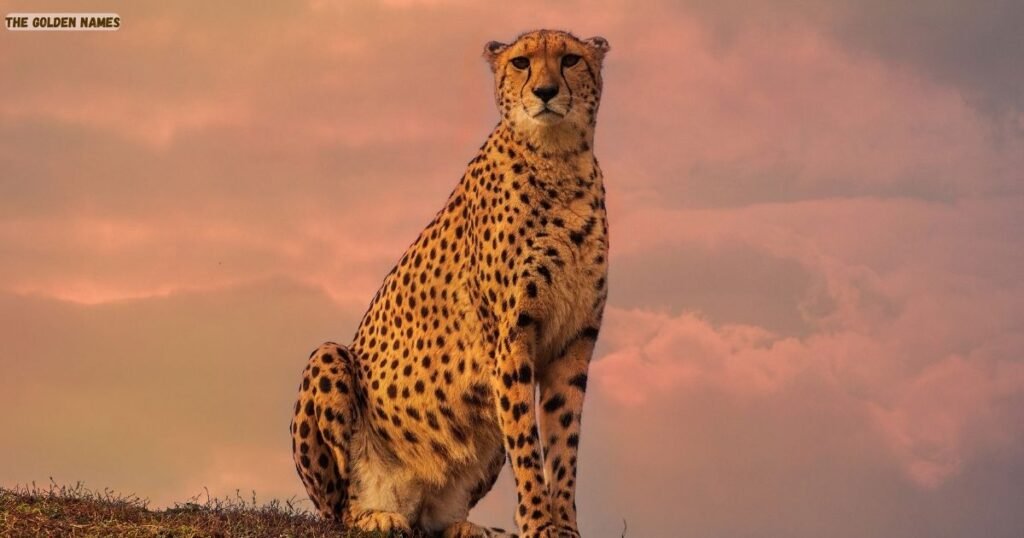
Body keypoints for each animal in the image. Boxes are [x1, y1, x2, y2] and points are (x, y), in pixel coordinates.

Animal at [290, 29, 610, 538]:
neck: (558, 161)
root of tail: (412, 501)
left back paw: (464, 526)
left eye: (571, 59)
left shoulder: (574, 343)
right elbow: (528, 445)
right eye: (521, 62)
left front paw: (564, 529)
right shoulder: (511, 340)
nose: (545, 92)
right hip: (329, 357)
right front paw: (538, 524)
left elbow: (563, 447)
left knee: (437, 518)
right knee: (337, 506)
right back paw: (373, 515)